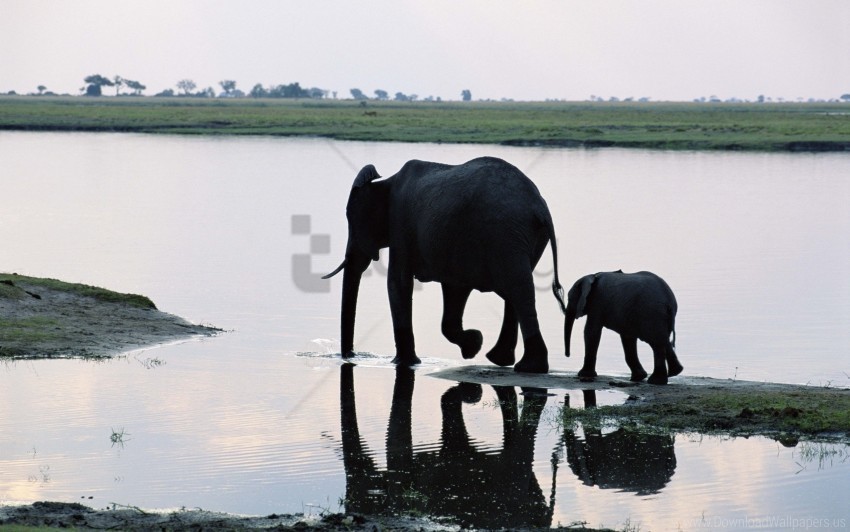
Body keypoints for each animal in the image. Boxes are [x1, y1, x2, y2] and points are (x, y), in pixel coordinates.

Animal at [322, 157, 564, 374]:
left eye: (350, 220)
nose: (350, 356)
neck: (385, 183)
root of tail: (539, 207)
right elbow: (455, 290)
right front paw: (474, 344)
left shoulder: (400, 224)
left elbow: (398, 283)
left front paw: (405, 362)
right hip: (521, 239)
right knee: (517, 289)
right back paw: (505, 360)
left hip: (506, 235)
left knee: (518, 290)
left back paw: (527, 367)